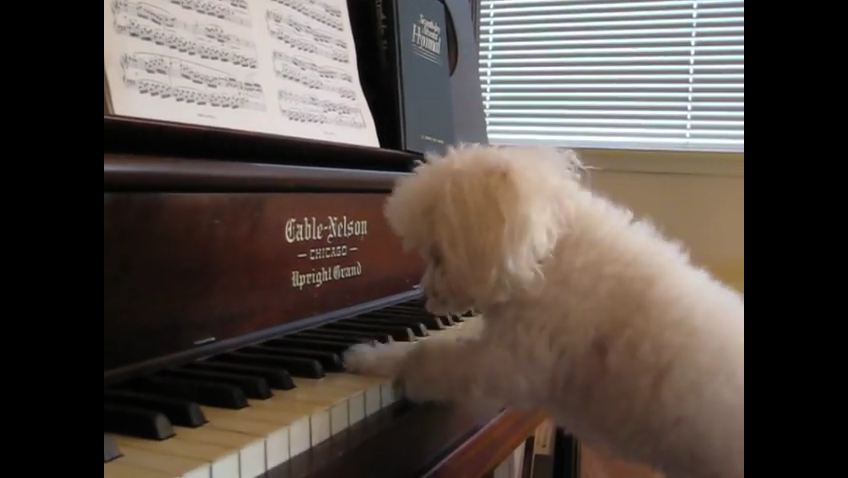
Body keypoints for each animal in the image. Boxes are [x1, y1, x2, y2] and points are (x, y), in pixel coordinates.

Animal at [344, 145, 744, 478]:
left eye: (436, 255)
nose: (425, 297)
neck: (547, 253)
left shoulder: (506, 362)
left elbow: (425, 356)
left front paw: (370, 357)